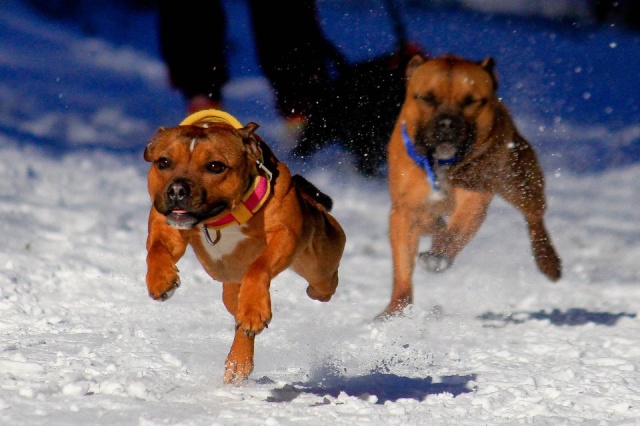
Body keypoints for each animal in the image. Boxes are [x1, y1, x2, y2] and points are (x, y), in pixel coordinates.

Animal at [143, 109, 348, 382]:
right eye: (163, 162)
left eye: (215, 166)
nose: (177, 189)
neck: (219, 220)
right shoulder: (167, 226)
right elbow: (156, 249)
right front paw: (160, 279)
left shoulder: (285, 234)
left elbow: (259, 266)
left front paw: (254, 307)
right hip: (231, 291)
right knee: (239, 320)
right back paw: (239, 361)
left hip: (319, 263)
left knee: (322, 282)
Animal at [380, 55, 560, 318]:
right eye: (427, 98)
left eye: (471, 101)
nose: (446, 124)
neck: (442, 165)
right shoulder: (405, 209)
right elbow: (402, 265)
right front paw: (395, 310)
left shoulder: (474, 198)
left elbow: (455, 231)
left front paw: (438, 256)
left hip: (519, 181)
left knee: (534, 216)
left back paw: (548, 260)